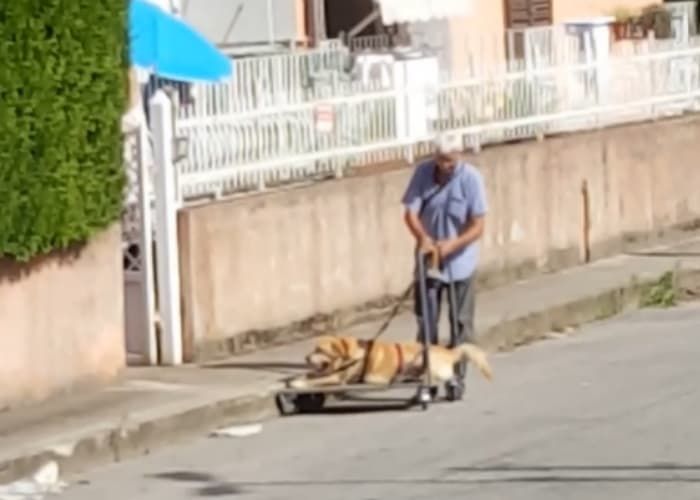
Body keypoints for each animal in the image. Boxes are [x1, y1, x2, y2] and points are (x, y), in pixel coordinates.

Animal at [288, 334, 494, 388]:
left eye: (319, 350)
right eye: (313, 348)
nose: (305, 357)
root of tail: (450, 350)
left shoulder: (338, 378)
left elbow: (316, 380)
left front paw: (298, 383)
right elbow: (312, 374)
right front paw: (296, 378)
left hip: (428, 359)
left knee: (444, 378)